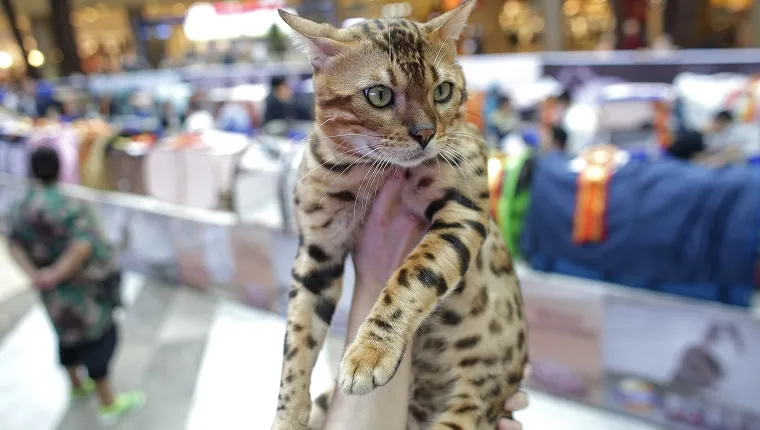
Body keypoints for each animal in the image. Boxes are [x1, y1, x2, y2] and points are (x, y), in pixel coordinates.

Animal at [274, 1, 528, 428]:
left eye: (442, 91)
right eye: (378, 95)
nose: (426, 134)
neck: (365, 172)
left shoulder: (464, 209)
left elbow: (413, 274)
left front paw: (369, 353)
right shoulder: (317, 250)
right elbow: (297, 336)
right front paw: (288, 414)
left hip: (469, 408)